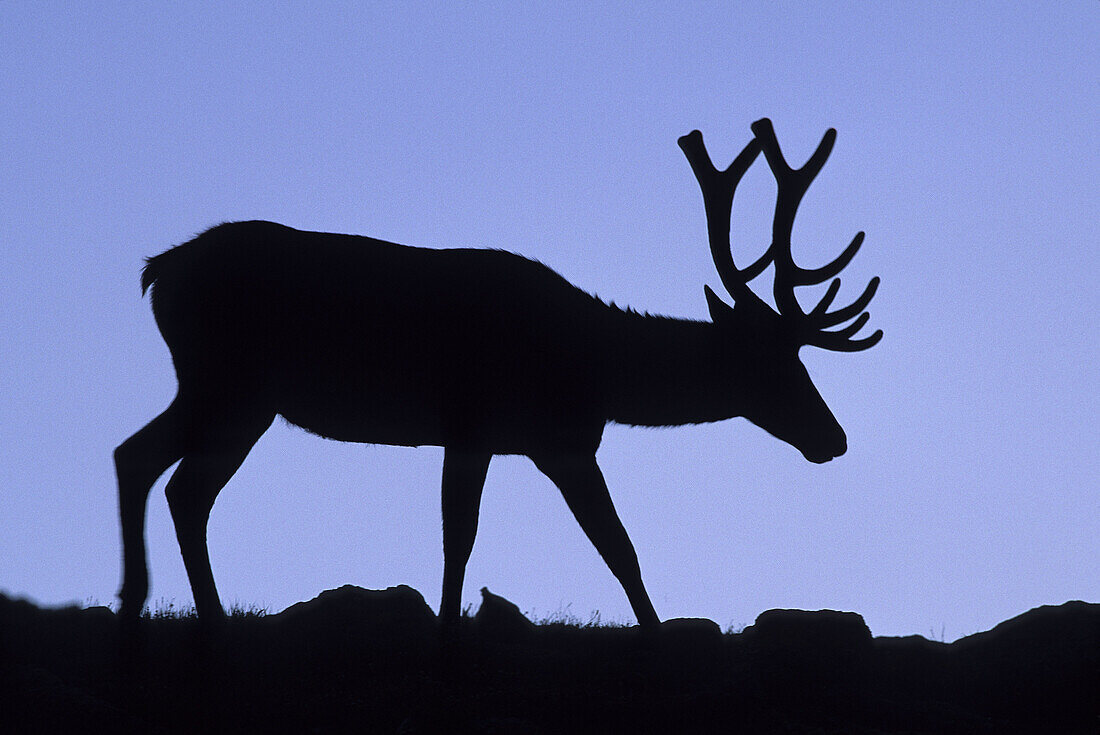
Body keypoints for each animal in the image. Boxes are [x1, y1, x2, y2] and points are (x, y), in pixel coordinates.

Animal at [116, 117, 880, 629]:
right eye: (776, 364)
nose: (835, 438)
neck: (590, 367)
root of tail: (158, 271)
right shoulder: (476, 422)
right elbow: (463, 539)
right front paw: (449, 629)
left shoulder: (556, 444)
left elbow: (619, 548)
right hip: (229, 383)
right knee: (169, 476)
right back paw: (185, 611)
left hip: (233, 394)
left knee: (158, 470)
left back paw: (155, 605)